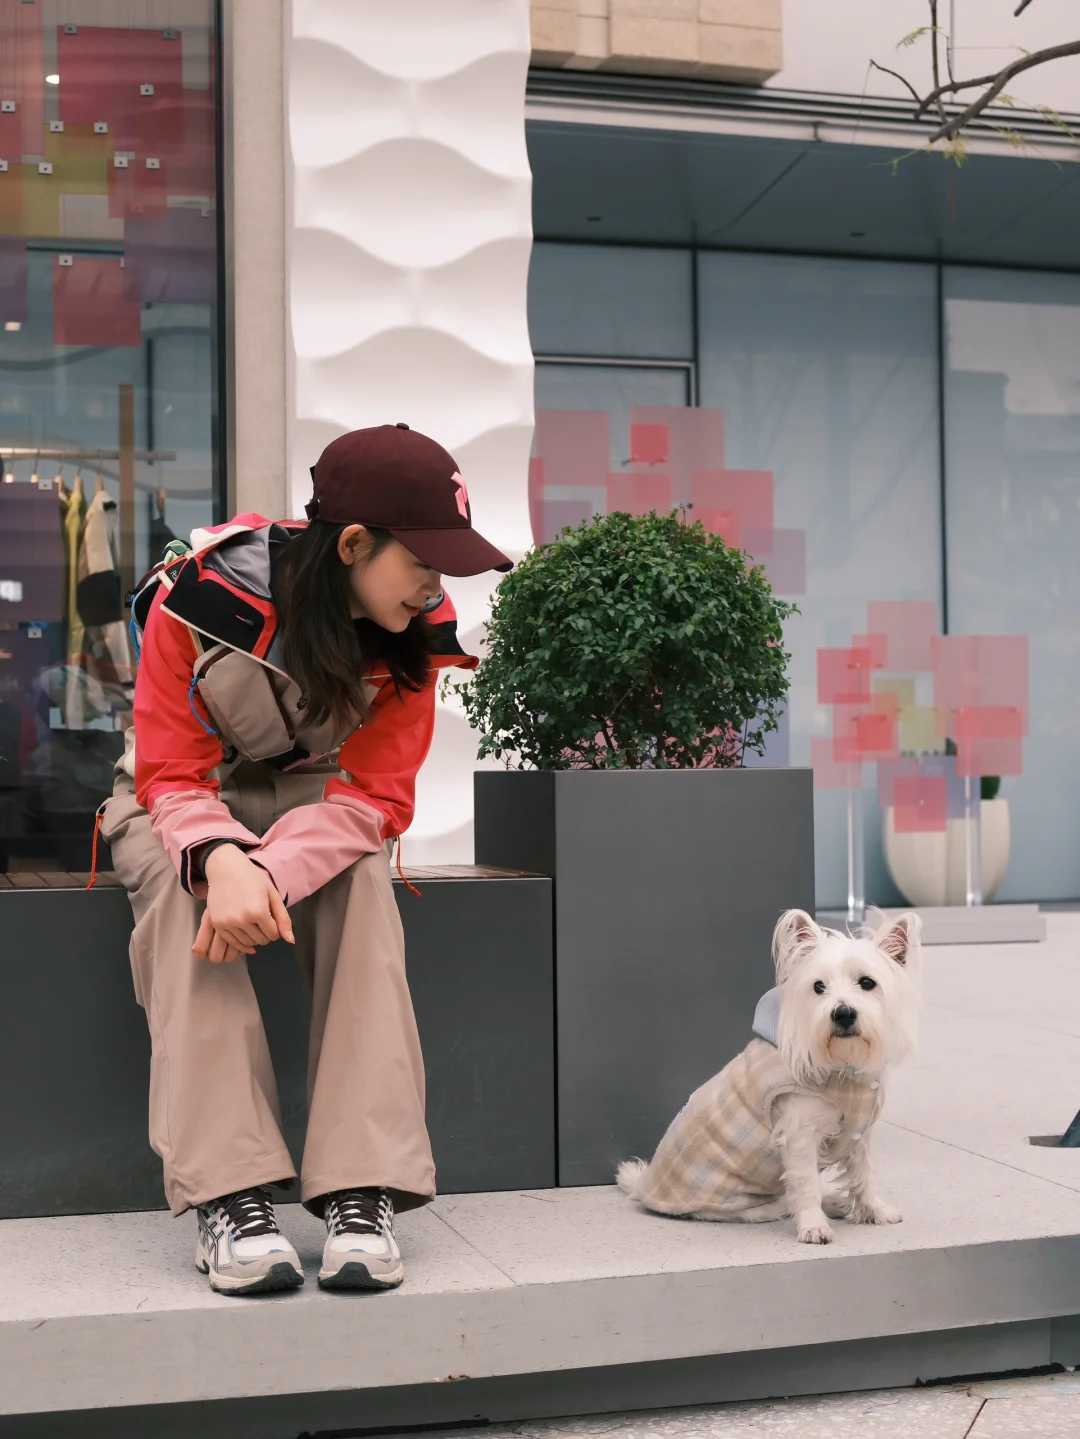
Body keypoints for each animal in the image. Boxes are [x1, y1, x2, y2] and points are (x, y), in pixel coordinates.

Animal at [615, 915, 920, 1243]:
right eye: (818, 986)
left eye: (867, 983)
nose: (843, 1013)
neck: (842, 1066)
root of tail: (644, 1187)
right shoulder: (799, 1135)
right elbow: (806, 1184)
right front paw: (814, 1226)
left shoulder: (859, 1134)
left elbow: (865, 1173)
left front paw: (874, 1210)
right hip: (747, 1207)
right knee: (786, 1201)